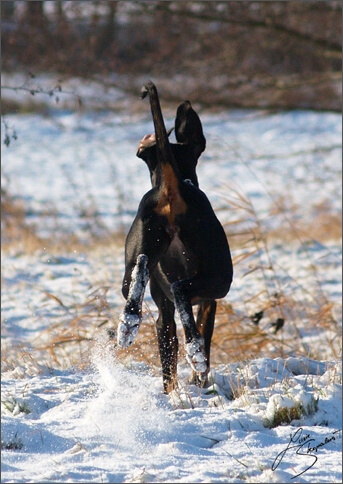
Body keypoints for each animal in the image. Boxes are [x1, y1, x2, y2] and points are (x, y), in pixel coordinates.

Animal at [116, 82, 234, 394]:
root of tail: (170, 188)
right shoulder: (208, 301)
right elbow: (204, 334)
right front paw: (198, 379)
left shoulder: (164, 314)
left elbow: (167, 361)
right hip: (218, 278)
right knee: (181, 290)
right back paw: (195, 352)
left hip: (135, 260)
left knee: (139, 271)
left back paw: (128, 323)